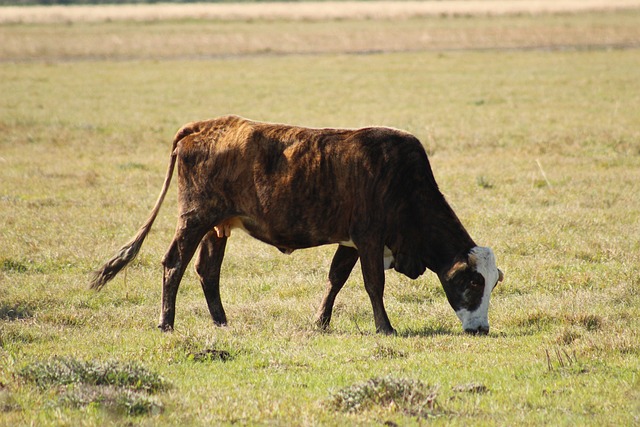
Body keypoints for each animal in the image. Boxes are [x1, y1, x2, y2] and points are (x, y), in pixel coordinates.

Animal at [90, 115, 502, 336]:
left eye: (492, 282)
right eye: (473, 283)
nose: (481, 329)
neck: (402, 181)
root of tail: (203, 126)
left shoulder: (349, 243)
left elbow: (336, 279)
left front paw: (321, 322)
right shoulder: (369, 238)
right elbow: (374, 285)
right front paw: (385, 327)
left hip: (215, 227)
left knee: (207, 270)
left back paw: (222, 323)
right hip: (194, 220)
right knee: (174, 264)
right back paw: (166, 323)